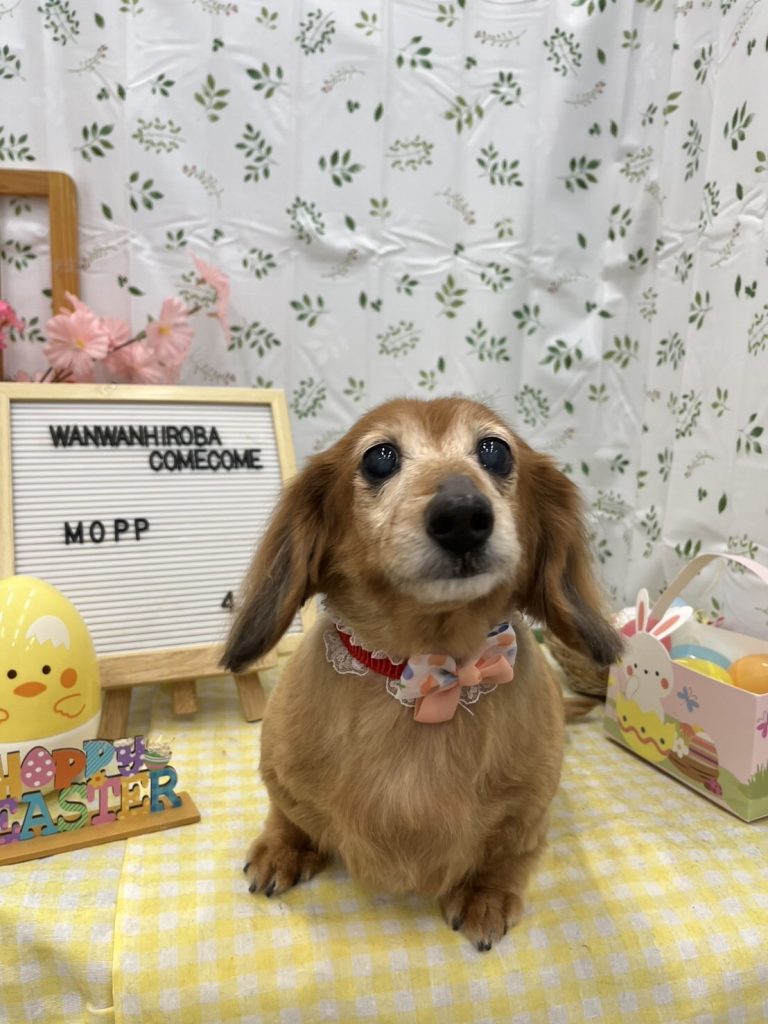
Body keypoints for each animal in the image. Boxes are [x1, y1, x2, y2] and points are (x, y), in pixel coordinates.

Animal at [222, 396, 621, 951]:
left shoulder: (530, 811)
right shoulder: (281, 774)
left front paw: (484, 895)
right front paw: (284, 846)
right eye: (380, 457)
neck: (428, 671)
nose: (462, 515)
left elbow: (506, 854)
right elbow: (289, 813)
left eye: (495, 451)